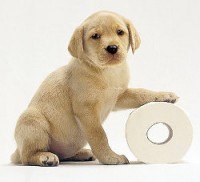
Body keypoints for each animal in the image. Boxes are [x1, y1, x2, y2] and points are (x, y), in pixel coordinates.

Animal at [10, 10, 178, 166]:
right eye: (95, 36)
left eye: (120, 32)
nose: (112, 48)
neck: (107, 72)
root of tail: (16, 152)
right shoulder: (86, 110)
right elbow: (99, 135)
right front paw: (111, 157)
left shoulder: (119, 97)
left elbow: (141, 93)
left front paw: (164, 95)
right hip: (32, 119)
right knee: (27, 156)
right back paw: (44, 157)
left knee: (62, 154)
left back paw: (81, 153)